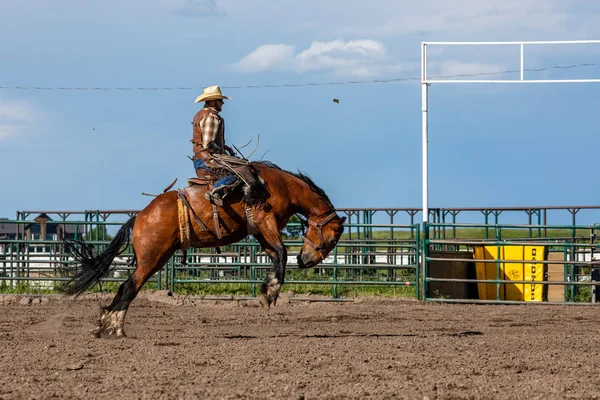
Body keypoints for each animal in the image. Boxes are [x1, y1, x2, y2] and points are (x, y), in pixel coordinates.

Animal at [63, 161, 344, 336]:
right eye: (332, 239)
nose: (306, 261)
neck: (279, 186)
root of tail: (140, 216)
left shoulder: (261, 230)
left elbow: (276, 257)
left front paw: (267, 290)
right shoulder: (266, 221)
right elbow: (283, 253)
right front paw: (272, 291)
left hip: (159, 257)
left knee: (127, 288)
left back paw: (106, 325)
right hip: (150, 259)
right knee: (128, 287)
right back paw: (114, 327)